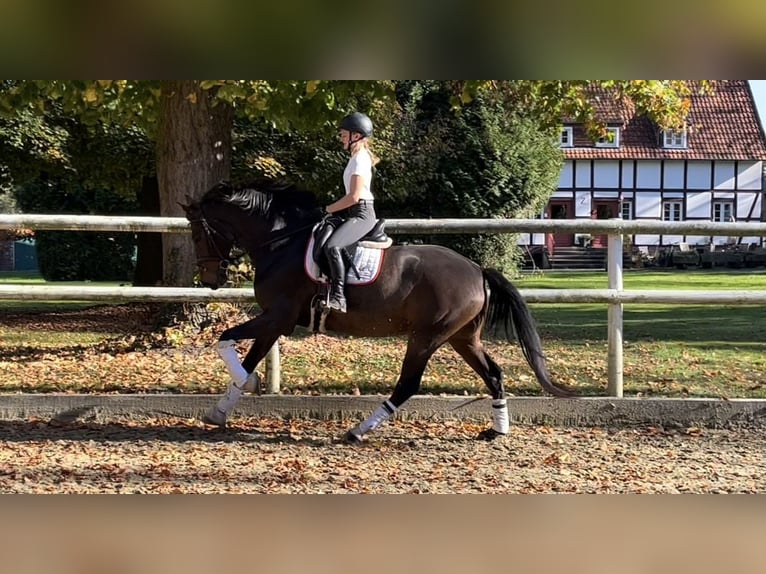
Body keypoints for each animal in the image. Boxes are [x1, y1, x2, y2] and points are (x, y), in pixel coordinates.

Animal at [182, 182, 576, 444]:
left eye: (199, 234)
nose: (211, 279)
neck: (281, 243)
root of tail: (477, 269)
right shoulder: (274, 321)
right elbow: (246, 358)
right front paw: (220, 410)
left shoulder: (278, 317)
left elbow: (225, 340)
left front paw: (245, 386)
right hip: (463, 337)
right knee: (493, 373)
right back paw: (496, 431)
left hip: (427, 336)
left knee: (408, 384)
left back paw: (358, 430)